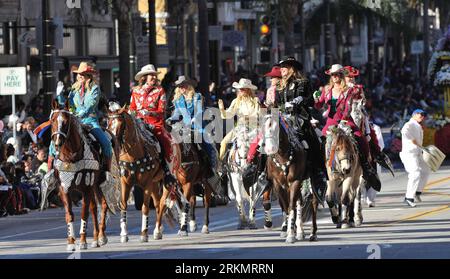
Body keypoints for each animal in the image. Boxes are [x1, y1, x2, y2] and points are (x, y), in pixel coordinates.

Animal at [49, 100, 115, 252]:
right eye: (52, 120)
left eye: (66, 121)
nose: (58, 142)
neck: (70, 157)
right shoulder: (64, 189)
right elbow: (69, 215)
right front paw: (71, 242)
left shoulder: (86, 188)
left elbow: (84, 213)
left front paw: (83, 241)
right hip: (94, 187)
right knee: (94, 208)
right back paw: (95, 239)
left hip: (98, 183)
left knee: (102, 205)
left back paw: (101, 237)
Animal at [107, 105, 169, 243]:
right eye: (109, 123)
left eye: (120, 124)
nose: (112, 142)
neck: (133, 155)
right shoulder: (125, 183)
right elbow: (123, 205)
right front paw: (124, 234)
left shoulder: (147, 184)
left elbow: (145, 207)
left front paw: (144, 233)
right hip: (155, 183)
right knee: (158, 204)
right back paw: (158, 230)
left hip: (168, 181)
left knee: (163, 203)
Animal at [262, 112, 318, 244]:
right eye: (262, 128)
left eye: (275, 128)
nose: (269, 148)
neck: (283, 155)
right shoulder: (278, 184)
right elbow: (286, 206)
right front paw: (289, 230)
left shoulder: (295, 181)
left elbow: (291, 206)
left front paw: (291, 235)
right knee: (299, 201)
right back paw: (300, 231)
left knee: (312, 202)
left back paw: (311, 233)